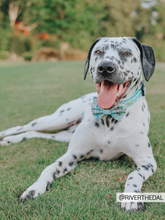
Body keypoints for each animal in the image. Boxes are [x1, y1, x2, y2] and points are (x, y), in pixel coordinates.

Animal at [0, 37, 157, 212]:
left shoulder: (147, 161)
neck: (109, 116)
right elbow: (50, 167)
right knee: (22, 128)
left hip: (63, 135)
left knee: (32, 133)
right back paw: (6, 138)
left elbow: (134, 174)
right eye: (98, 51)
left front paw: (131, 197)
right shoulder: (73, 154)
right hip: (57, 119)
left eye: (127, 53)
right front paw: (34, 188)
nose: (105, 67)